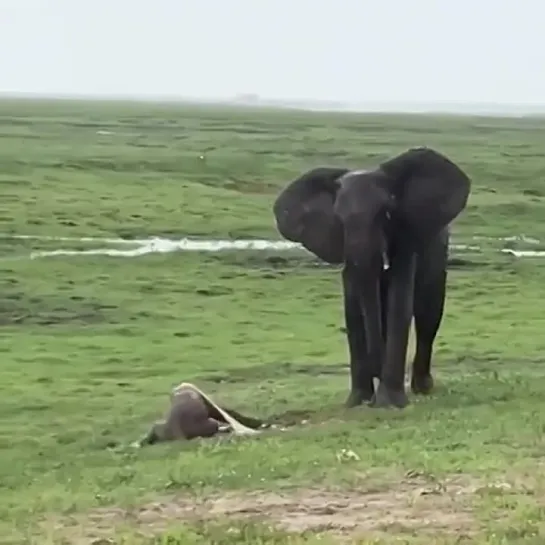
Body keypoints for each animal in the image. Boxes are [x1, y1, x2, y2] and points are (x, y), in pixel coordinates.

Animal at [274, 147, 470, 406]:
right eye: (339, 219)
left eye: (386, 214)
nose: (376, 371)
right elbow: (353, 306)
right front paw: (356, 403)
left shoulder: (405, 235)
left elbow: (400, 299)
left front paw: (391, 404)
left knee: (428, 314)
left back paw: (423, 388)